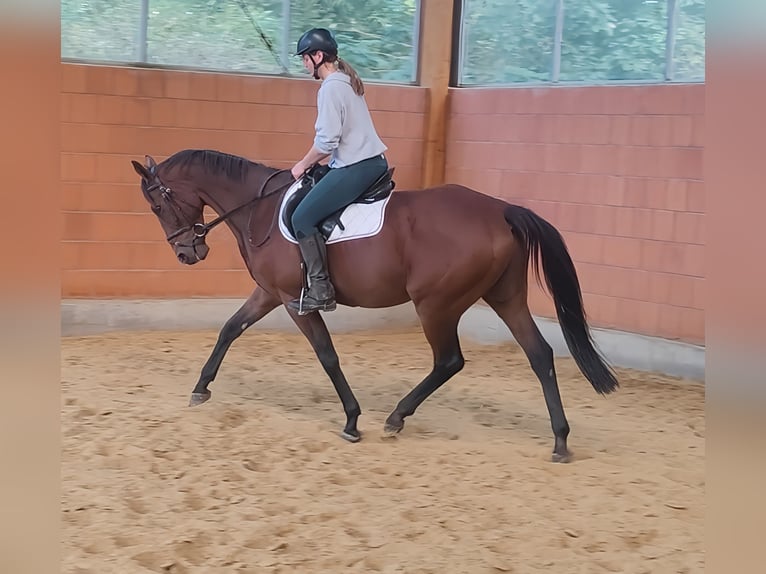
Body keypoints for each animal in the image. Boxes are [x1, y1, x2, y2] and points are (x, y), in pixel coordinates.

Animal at [132, 150, 620, 464]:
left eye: (156, 204)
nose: (187, 253)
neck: (263, 209)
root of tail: (500, 210)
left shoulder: (293, 301)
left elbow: (327, 355)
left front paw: (352, 419)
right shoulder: (270, 293)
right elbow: (230, 329)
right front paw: (201, 387)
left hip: (436, 304)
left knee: (449, 361)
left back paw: (397, 417)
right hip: (505, 297)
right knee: (540, 355)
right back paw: (560, 440)